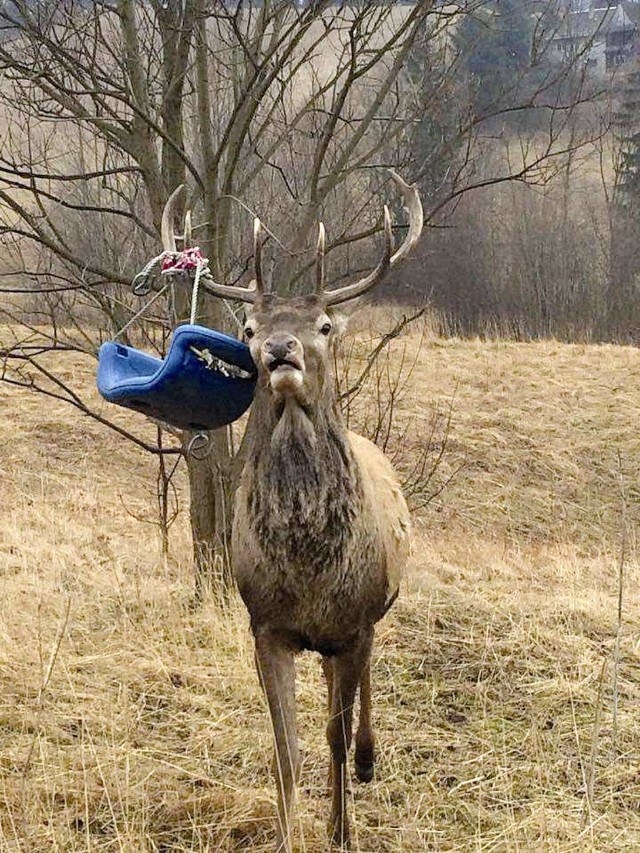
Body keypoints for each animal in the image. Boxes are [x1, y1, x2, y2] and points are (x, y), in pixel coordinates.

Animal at [159, 170, 420, 848]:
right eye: (249, 328)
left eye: (323, 325)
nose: (282, 349)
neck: (309, 570)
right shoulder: (266, 625)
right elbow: (288, 746)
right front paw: (286, 832)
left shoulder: (353, 625)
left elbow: (332, 737)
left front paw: (342, 831)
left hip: (374, 613)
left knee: (363, 695)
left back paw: (369, 760)